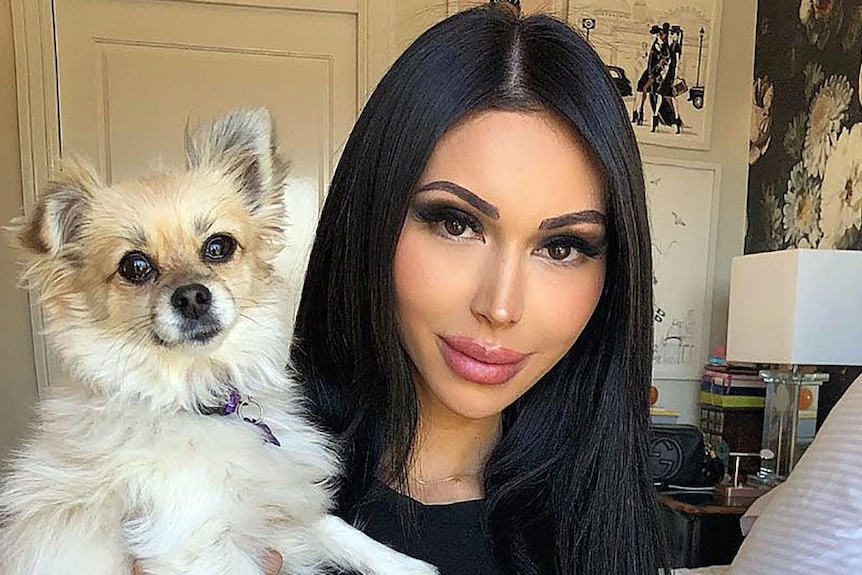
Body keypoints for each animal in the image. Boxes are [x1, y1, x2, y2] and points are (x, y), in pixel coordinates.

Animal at [0, 109, 432, 575]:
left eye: (218, 247)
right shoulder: (191, 541)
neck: (196, 397)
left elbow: (331, 526)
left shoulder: (278, 506)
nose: (192, 296)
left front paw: (408, 565)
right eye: (134, 266)